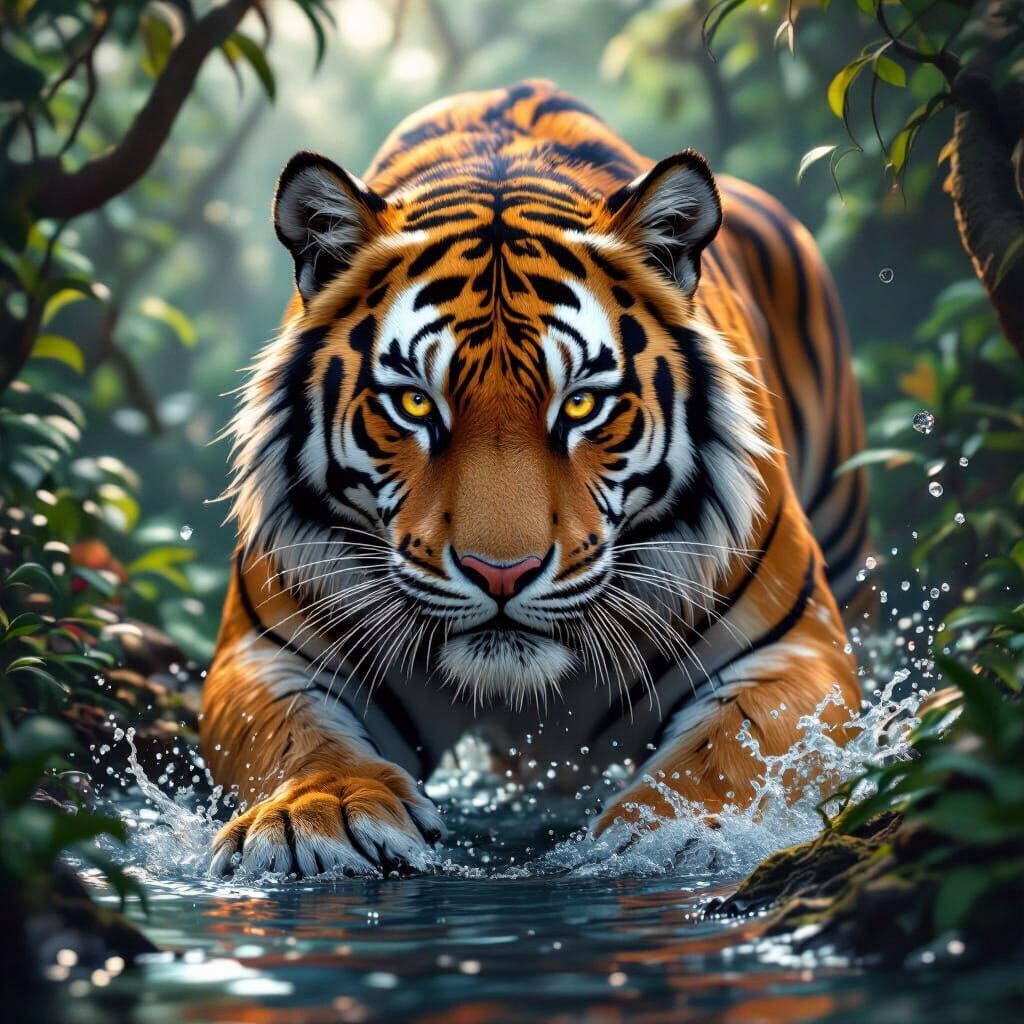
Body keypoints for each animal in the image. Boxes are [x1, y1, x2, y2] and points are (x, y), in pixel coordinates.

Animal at [202, 80, 868, 878]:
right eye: (415, 403)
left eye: (580, 404)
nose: (502, 574)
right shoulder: (268, 653)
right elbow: (295, 736)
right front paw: (316, 815)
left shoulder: (792, 648)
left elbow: (732, 746)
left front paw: (674, 829)